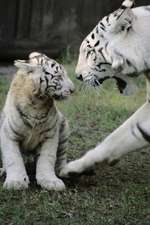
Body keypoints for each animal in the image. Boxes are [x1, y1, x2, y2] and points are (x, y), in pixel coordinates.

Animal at [0, 52, 74, 190]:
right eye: (59, 76)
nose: (73, 90)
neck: (37, 103)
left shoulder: (50, 135)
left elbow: (47, 158)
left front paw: (50, 181)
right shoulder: (9, 134)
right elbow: (13, 157)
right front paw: (16, 182)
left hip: (64, 129)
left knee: (61, 156)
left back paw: (64, 171)